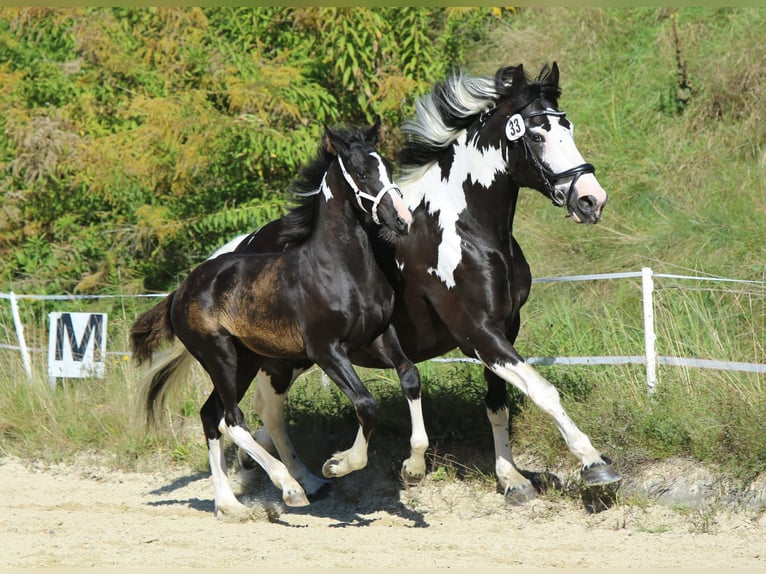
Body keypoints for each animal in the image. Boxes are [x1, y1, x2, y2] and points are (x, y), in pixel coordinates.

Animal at [129, 120, 419, 519]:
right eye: (361, 173)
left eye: (387, 168)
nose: (403, 221)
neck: (340, 269)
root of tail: (181, 290)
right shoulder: (327, 351)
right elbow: (366, 405)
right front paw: (337, 464)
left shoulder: (378, 337)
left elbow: (410, 377)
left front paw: (414, 468)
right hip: (219, 356)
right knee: (231, 419)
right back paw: (291, 487)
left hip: (246, 360)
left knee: (211, 416)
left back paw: (229, 504)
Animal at [222, 62, 622, 505]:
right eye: (537, 135)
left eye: (568, 127)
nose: (591, 200)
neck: (467, 230)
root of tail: (242, 246)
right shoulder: (478, 332)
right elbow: (543, 390)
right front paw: (594, 465)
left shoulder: (505, 327)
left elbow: (496, 404)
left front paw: (512, 479)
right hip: (273, 360)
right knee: (246, 416)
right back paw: (273, 487)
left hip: (294, 359)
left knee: (259, 416)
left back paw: (289, 478)